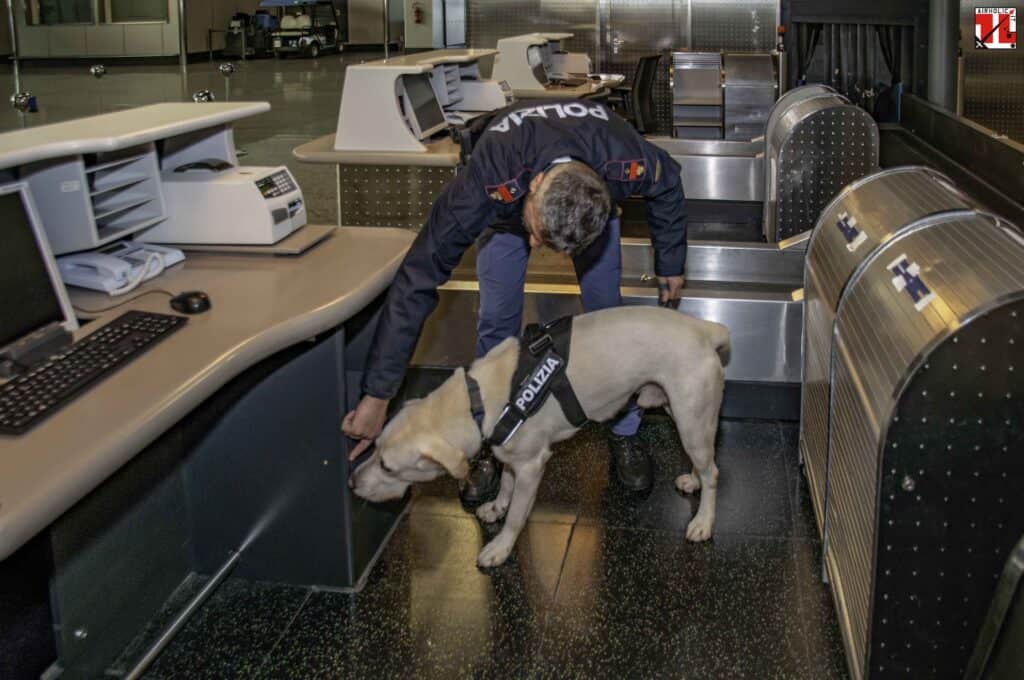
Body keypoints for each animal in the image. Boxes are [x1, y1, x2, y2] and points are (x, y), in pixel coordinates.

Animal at [350, 305, 729, 565]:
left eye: (387, 466)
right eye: (374, 447)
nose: (352, 482)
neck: (476, 402)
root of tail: (704, 328)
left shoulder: (532, 466)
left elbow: (518, 514)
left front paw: (501, 547)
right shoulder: (509, 455)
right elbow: (505, 484)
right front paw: (497, 506)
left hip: (690, 418)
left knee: (713, 472)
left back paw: (703, 521)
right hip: (685, 416)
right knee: (704, 460)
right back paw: (692, 481)